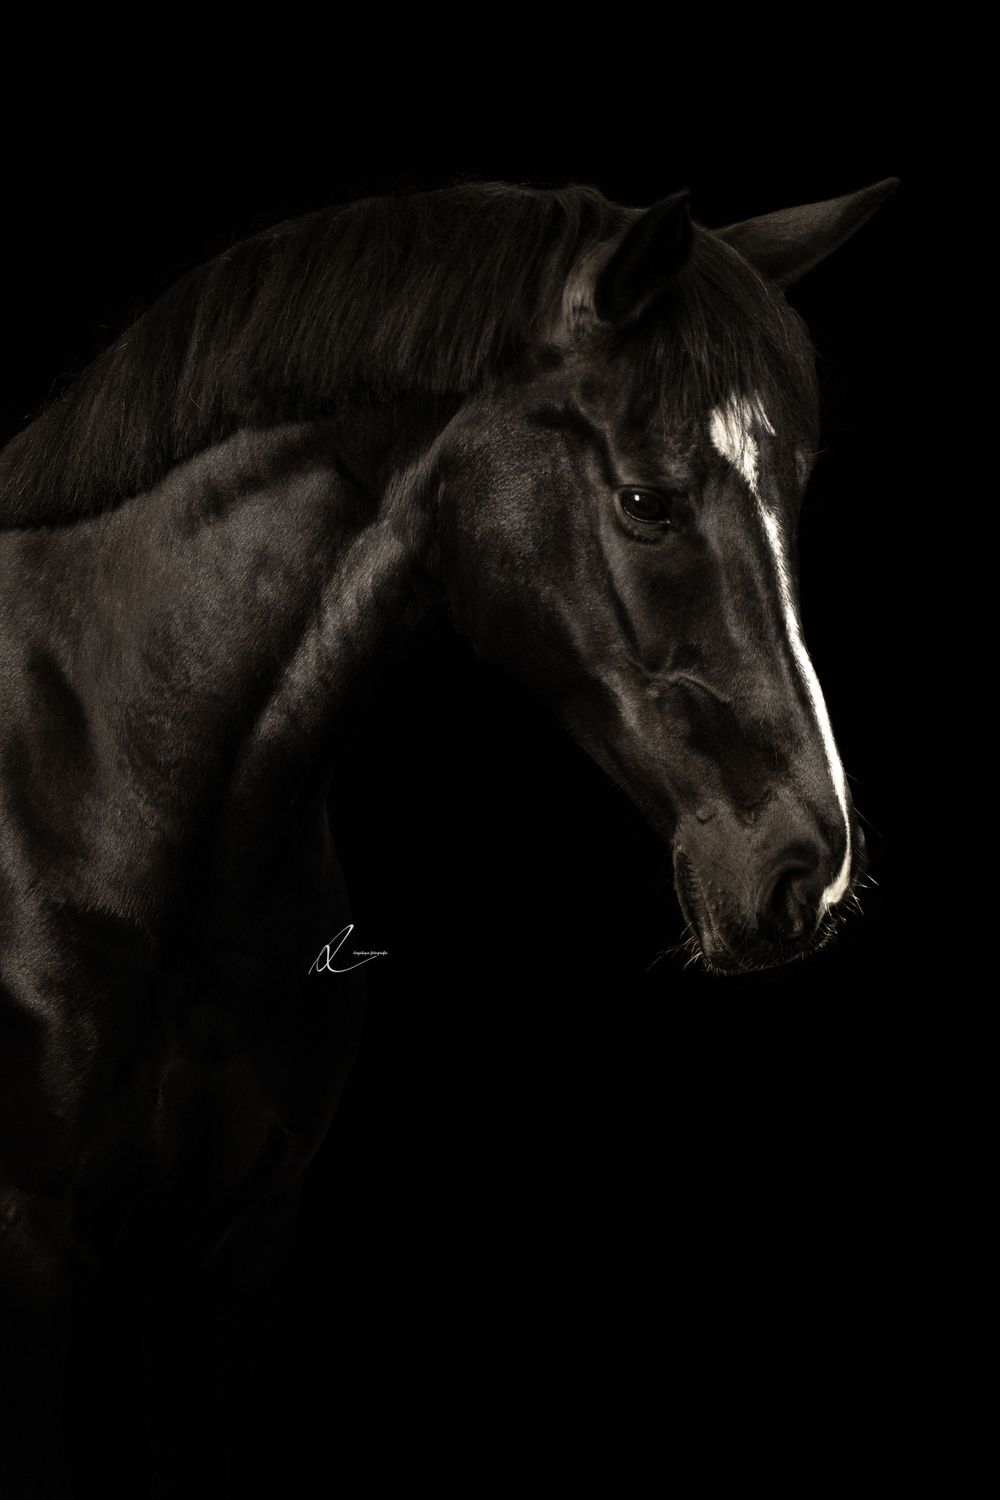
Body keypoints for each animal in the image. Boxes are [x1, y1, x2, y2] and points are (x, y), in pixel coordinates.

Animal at [0, 173, 896, 1495]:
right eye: (646, 500)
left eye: (791, 495)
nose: (806, 870)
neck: (98, 776)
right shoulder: (31, 1254)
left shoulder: (232, 1250)